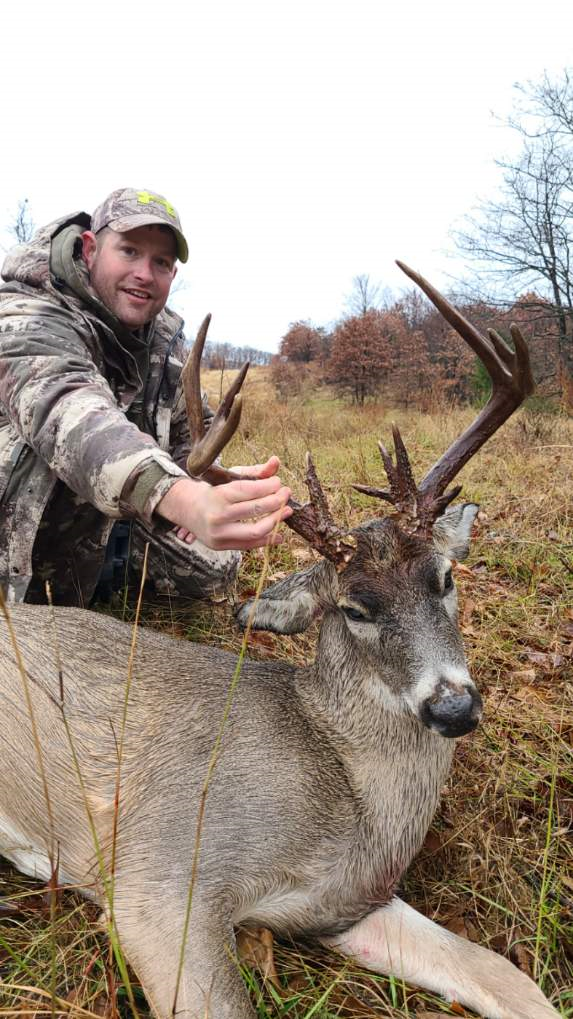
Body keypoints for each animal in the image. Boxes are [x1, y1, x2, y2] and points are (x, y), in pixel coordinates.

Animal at [0, 262, 561, 1019]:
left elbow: (506, 976)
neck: (357, 808)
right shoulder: (160, 871)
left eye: (445, 576)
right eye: (353, 607)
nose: (453, 707)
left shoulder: (347, 904)